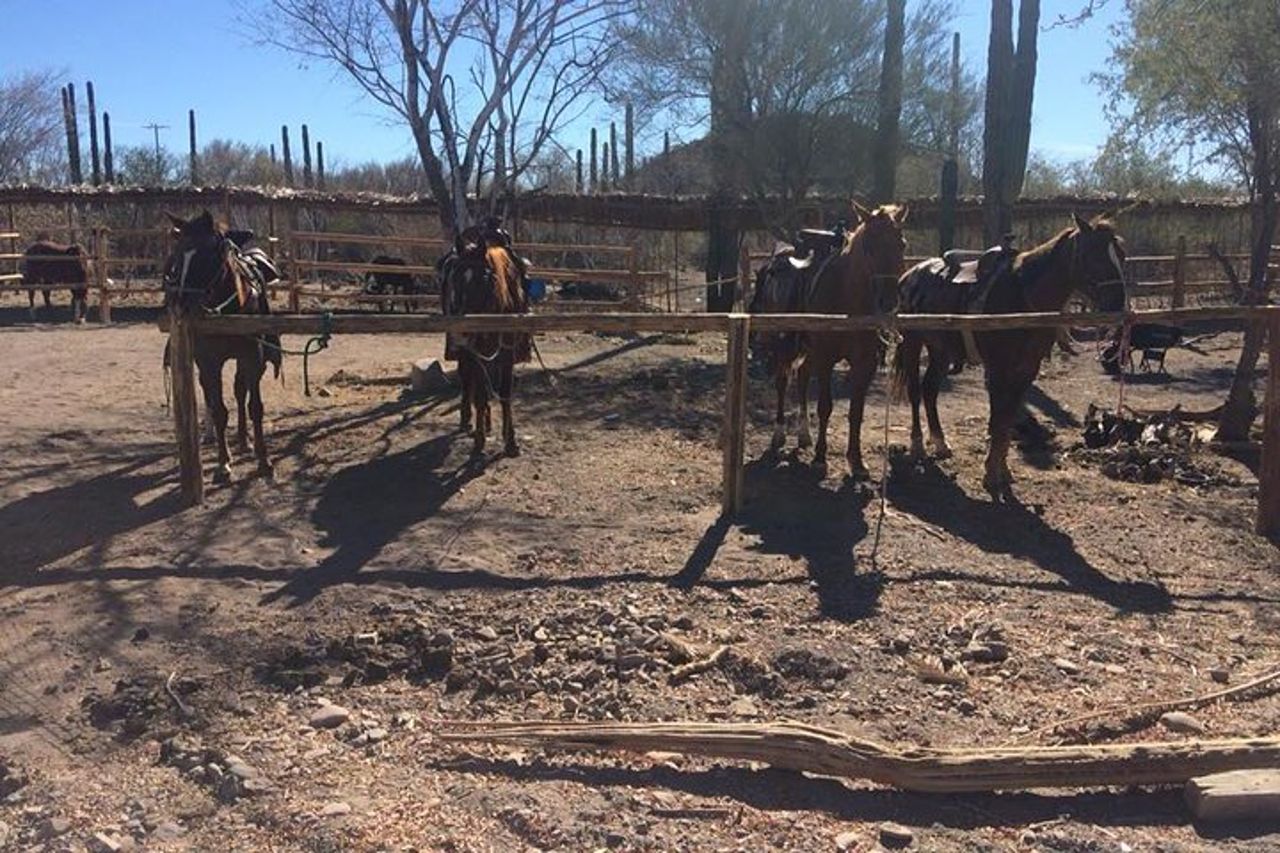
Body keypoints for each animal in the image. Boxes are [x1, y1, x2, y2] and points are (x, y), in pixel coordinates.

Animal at [162, 211, 282, 484]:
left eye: (208, 254)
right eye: (177, 256)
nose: (181, 304)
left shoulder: (252, 357)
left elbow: (254, 406)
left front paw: (264, 461)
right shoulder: (208, 362)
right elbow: (218, 410)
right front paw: (223, 464)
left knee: (240, 390)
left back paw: (244, 440)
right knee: (209, 394)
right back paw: (212, 435)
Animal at [438, 221, 531, 457]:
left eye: (485, 278)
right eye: (454, 278)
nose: (461, 332)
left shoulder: (506, 352)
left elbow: (505, 392)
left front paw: (511, 441)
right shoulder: (475, 351)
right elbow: (479, 394)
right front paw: (479, 442)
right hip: (466, 353)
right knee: (467, 378)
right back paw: (468, 421)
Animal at [800, 203, 909, 476]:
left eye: (902, 244)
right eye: (869, 246)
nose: (888, 301)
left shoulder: (865, 363)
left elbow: (856, 411)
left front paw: (856, 460)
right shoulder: (825, 358)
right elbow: (825, 406)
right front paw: (820, 457)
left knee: (802, 376)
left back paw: (803, 434)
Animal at [892, 213, 1129, 500]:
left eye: (1121, 255)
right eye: (1093, 255)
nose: (1117, 305)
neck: (1022, 299)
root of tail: (909, 275)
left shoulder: (1026, 370)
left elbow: (1007, 422)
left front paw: (1002, 472)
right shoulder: (997, 369)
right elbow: (997, 422)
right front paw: (990, 475)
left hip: (941, 351)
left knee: (929, 390)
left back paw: (940, 443)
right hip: (913, 343)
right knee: (915, 391)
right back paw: (917, 446)